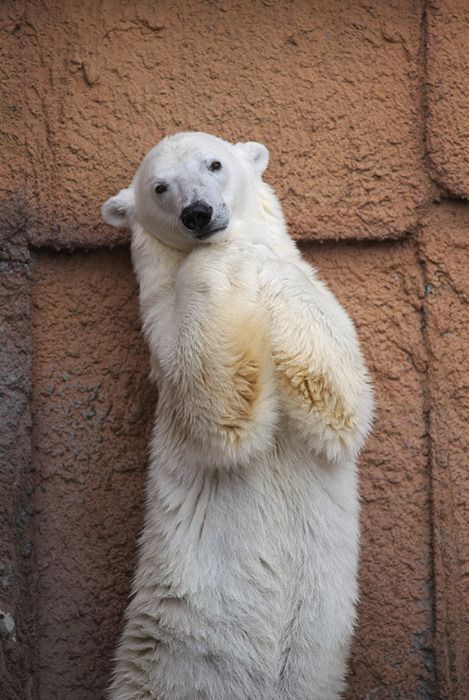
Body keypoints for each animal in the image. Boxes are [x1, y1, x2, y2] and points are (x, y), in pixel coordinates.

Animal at [102, 131, 373, 700]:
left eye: (215, 163)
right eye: (160, 187)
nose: (199, 214)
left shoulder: (311, 291)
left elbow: (340, 399)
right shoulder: (162, 340)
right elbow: (217, 403)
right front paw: (217, 259)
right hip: (166, 661)